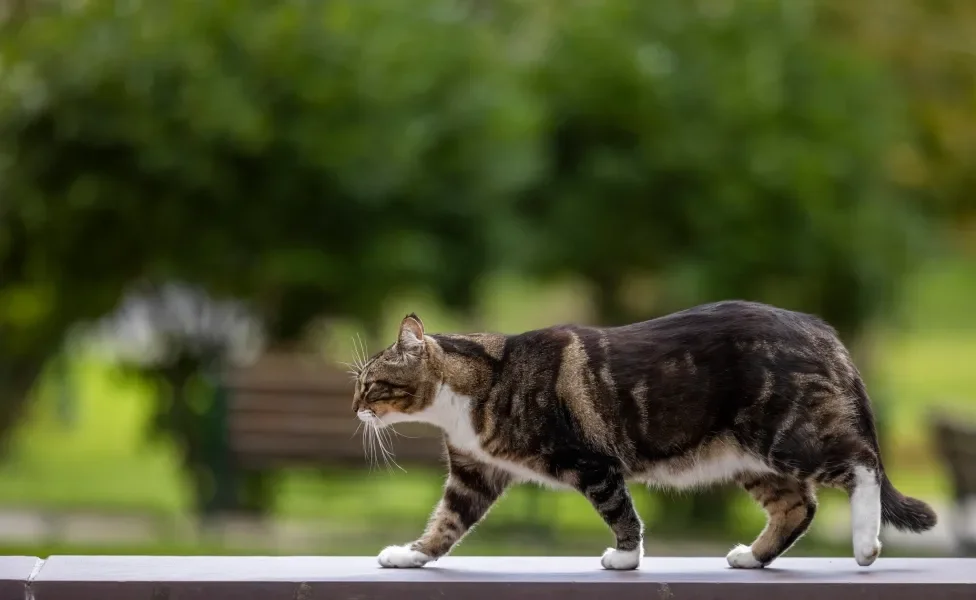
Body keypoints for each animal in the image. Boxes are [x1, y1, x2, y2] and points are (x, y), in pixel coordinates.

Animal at [350, 302, 936, 568]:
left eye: (372, 383)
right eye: (357, 386)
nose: (355, 408)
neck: (479, 384)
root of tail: (822, 330)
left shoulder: (590, 462)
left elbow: (619, 510)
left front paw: (626, 557)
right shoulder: (475, 473)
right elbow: (446, 522)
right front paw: (411, 555)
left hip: (788, 435)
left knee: (861, 463)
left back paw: (864, 544)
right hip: (750, 457)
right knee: (799, 506)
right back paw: (753, 556)